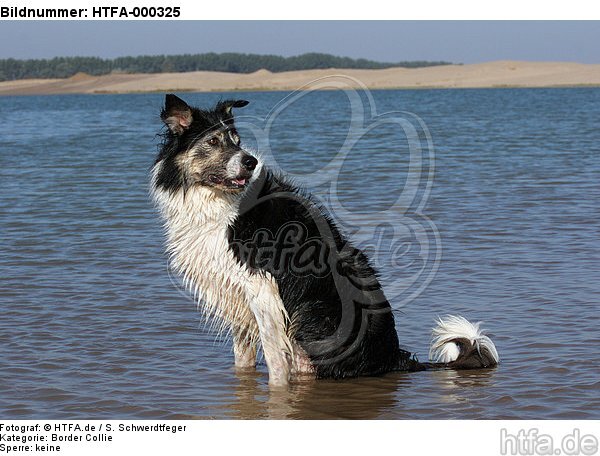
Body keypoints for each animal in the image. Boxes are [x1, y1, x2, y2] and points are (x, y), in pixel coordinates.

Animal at [152, 94, 500, 386]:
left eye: (237, 141)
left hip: (313, 316)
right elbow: (244, 356)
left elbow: (275, 358)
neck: (216, 200)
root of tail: (393, 357)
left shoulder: (261, 287)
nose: (250, 161)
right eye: (213, 141)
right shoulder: (235, 290)